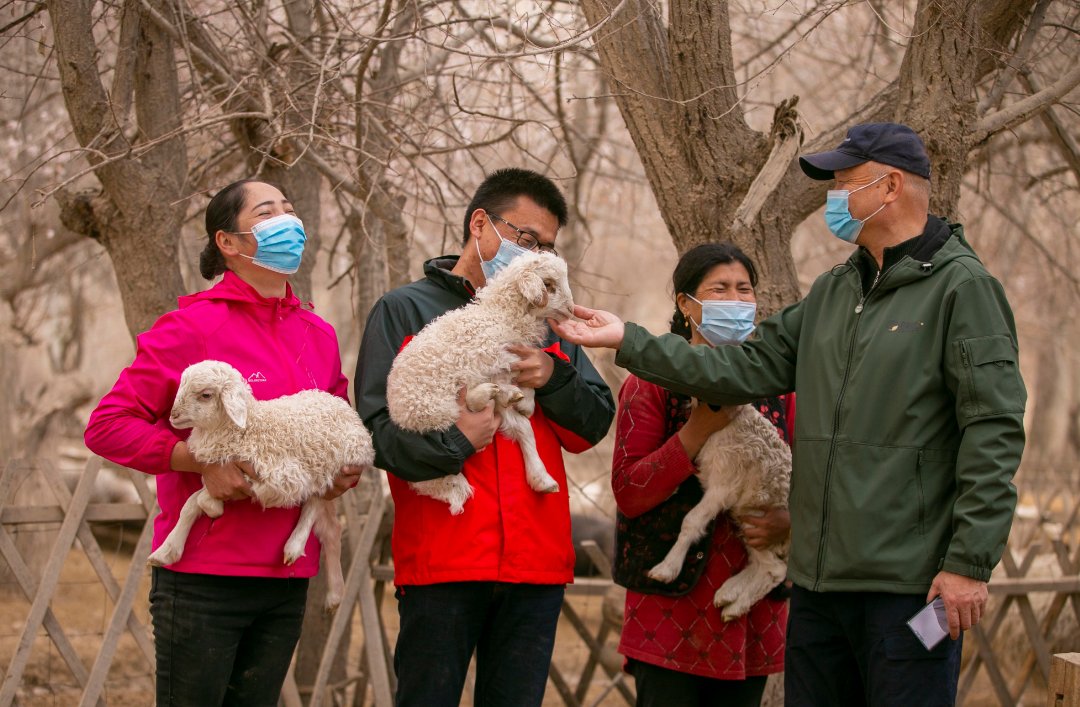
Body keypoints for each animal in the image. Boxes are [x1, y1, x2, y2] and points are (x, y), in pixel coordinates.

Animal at [149, 362, 375, 613]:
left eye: (205, 395)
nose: (173, 415)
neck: (246, 427)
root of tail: (346, 409)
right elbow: (189, 504)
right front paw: (166, 552)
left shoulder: (276, 477)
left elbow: (201, 500)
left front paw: (214, 509)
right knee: (331, 529)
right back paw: (335, 594)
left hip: (329, 467)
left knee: (314, 505)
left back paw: (294, 546)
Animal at [386, 252, 578, 513]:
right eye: (548, 285)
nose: (571, 310)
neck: (501, 314)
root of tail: (401, 417)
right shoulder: (487, 357)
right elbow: (510, 374)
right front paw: (523, 398)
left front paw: (526, 402)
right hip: (437, 406)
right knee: (469, 405)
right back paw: (487, 395)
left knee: (518, 425)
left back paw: (541, 477)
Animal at [643, 403, 790, 621]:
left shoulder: (723, 485)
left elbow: (691, 521)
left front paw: (666, 570)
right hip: (747, 519)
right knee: (761, 564)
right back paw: (727, 594)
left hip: (759, 520)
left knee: (776, 570)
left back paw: (734, 608)